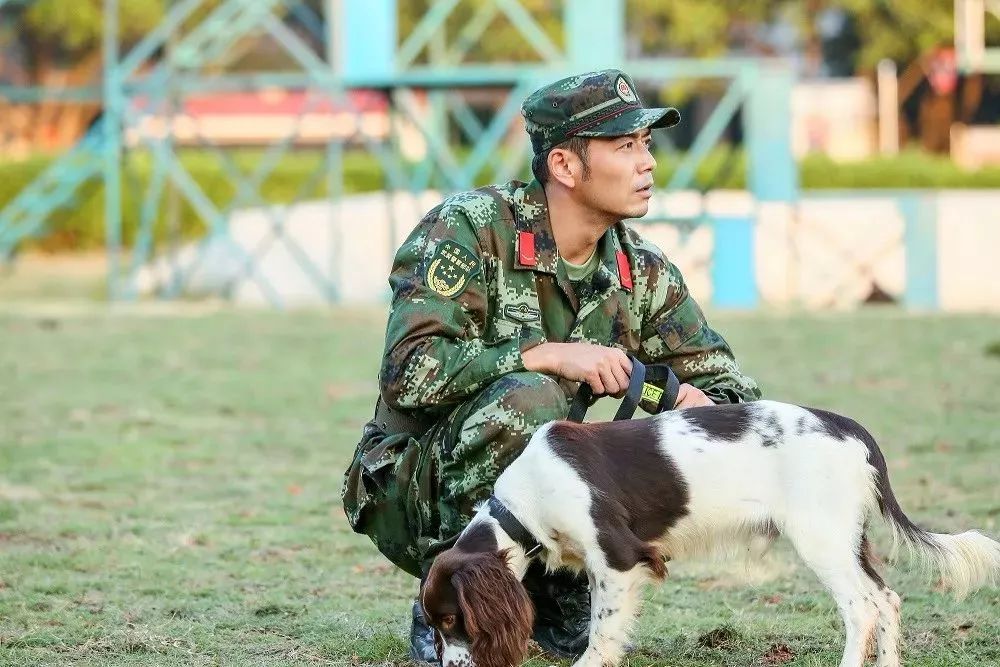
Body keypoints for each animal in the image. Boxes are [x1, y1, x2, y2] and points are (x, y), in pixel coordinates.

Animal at [418, 402, 1000, 667]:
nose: (449, 666)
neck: (523, 502)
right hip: (847, 535)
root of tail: (848, 427)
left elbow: (603, 633)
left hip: (820, 538)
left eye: (450, 620)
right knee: (887, 598)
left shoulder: (619, 558)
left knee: (861, 607)